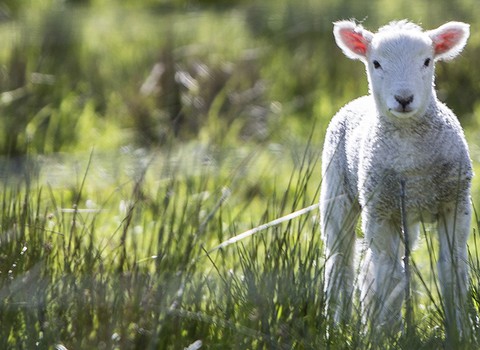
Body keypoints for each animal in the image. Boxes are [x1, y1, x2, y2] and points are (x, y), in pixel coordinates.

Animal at [320, 19, 470, 336]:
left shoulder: (455, 204)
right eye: (376, 63)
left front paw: (461, 330)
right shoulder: (380, 211)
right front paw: (387, 334)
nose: (403, 99)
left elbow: (452, 268)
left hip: (405, 216)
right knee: (341, 261)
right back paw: (337, 327)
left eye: (427, 61)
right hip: (338, 193)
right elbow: (391, 275)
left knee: (369, 266)